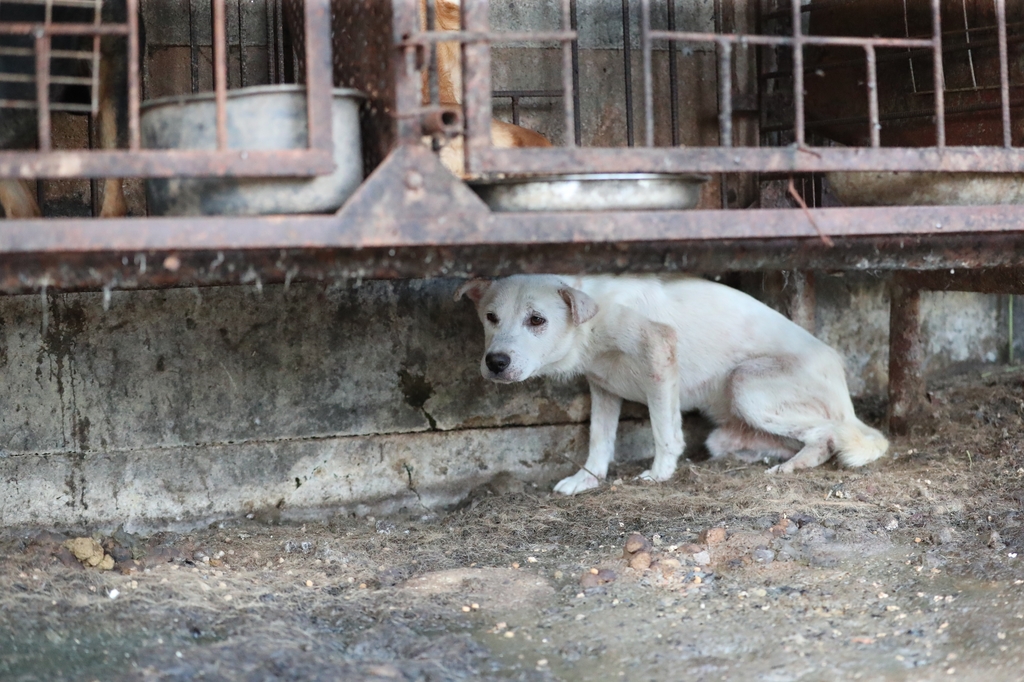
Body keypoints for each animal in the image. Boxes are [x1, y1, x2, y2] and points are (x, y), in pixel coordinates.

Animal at [458, 274, 888, 491]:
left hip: (745, 385)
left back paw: (795, 465)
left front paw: (660, 473)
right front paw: (587, 479)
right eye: (491, 317)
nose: (495, 362)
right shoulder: (603, 388)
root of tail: (845, 391)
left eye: (537, 320)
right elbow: (600, 440)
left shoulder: (660, 356)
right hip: (727, 430)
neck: (592, 325)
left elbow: (664, 431)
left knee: (829, 435)